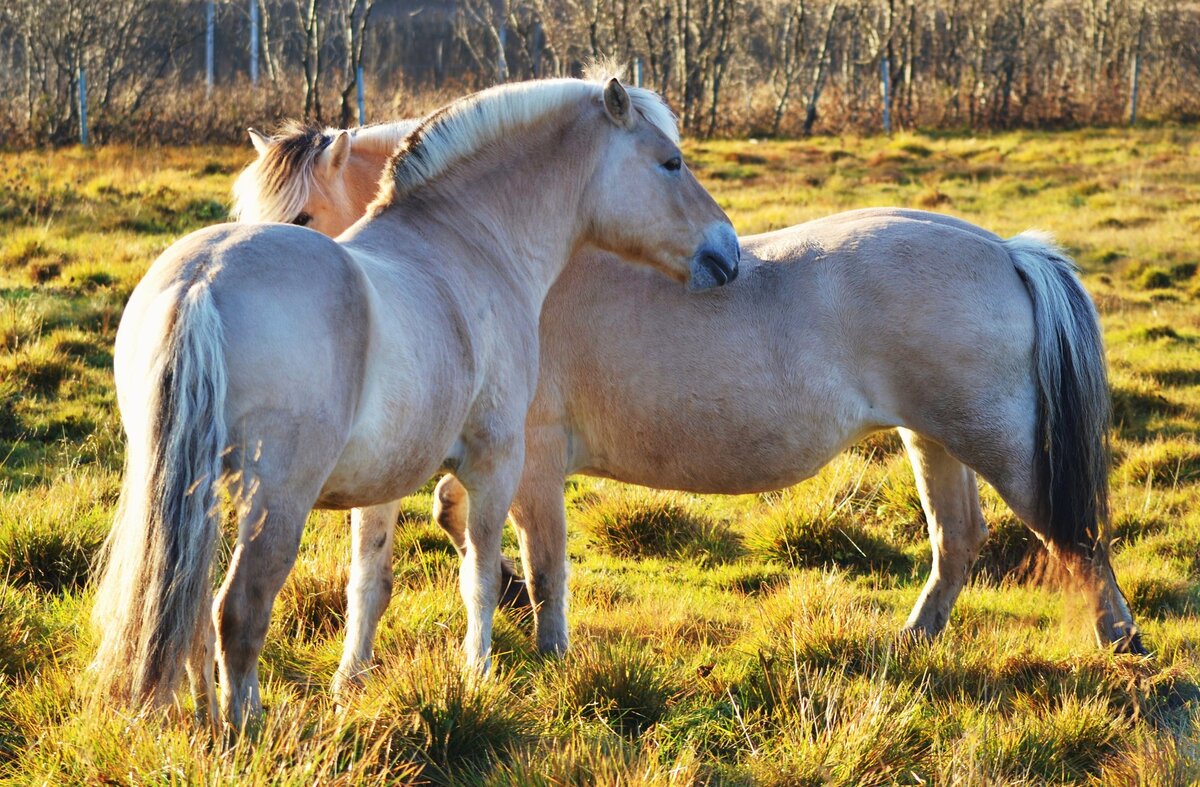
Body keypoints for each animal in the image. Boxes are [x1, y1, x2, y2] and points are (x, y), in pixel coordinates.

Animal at [93, 76, 744, 729]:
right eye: (671, 162)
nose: (727, 252)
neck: (467, 243)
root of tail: (202, 280)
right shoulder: (497, 463)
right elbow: (480, 577)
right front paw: (478, 677)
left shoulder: (383, 482)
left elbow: (369, 584)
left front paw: (350, 682)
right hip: (276, 500)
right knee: (237, 613)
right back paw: (244, 729)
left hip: (195, 495)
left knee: (189, 609)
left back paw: (203, 722)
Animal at [234, 116, 1142, 695]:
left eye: (304, 216)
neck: (509, 262)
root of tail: (1007, 252)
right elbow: (466, 527)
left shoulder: (530, 457)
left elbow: (541, 560)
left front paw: (548, 654)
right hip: (933, 438)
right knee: (959, 542)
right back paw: (908, 644)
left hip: (1000, 445)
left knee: (1073, 534)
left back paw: (1122, 644)